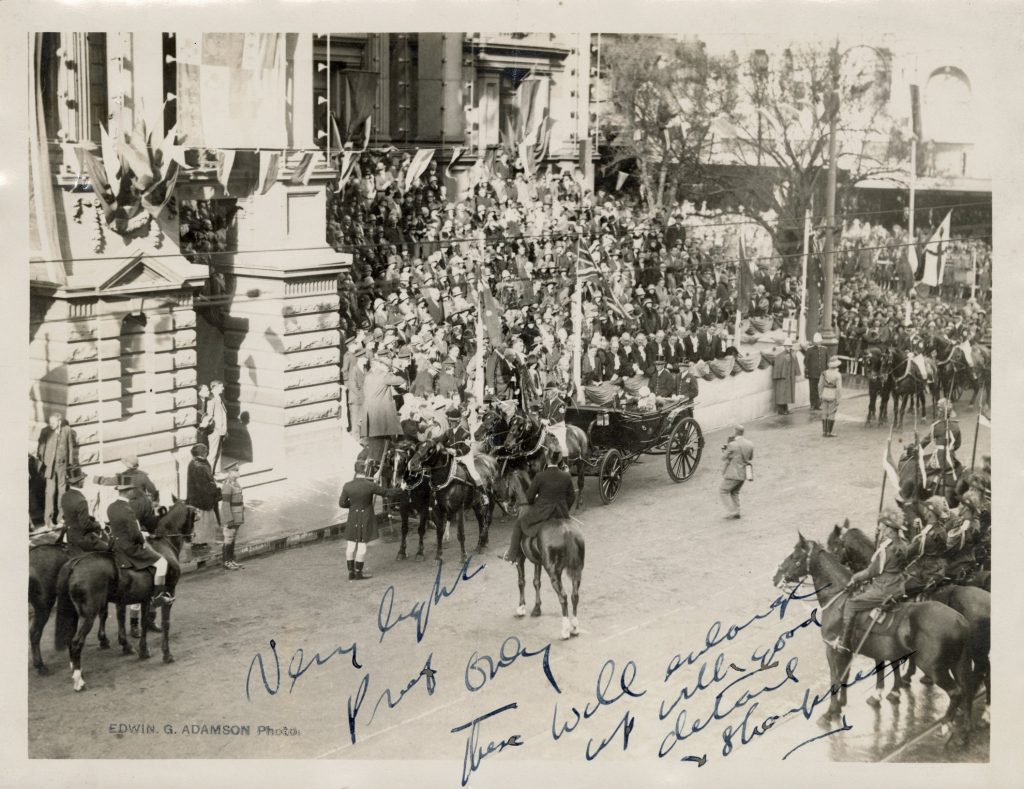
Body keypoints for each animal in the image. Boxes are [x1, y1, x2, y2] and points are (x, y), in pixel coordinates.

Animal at [53, 499, 192, 691]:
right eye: (195, 514)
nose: (191, 536)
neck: (164, 544)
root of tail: (75, 563)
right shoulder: (169, 593)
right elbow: (166, 623)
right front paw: (167, 655)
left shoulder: (145, 599)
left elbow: (142, 623)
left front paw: (143, 651)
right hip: (89, 614)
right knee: (76, 642)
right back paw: (79, 680)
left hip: (76, 613)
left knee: (70, 638)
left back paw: (75, 669)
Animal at [770, 532, 970, 744]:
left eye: (794, 556)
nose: (776, 577)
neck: (839, 598)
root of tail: (960, 620)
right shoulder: (852, 651)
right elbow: (848, 675)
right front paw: (843, 705)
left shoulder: (833, 650)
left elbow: (835, 678)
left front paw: (830, 713)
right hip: (956, 665)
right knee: (965, 689)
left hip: (934, 668)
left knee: (956, 692)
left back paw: (946, 724)